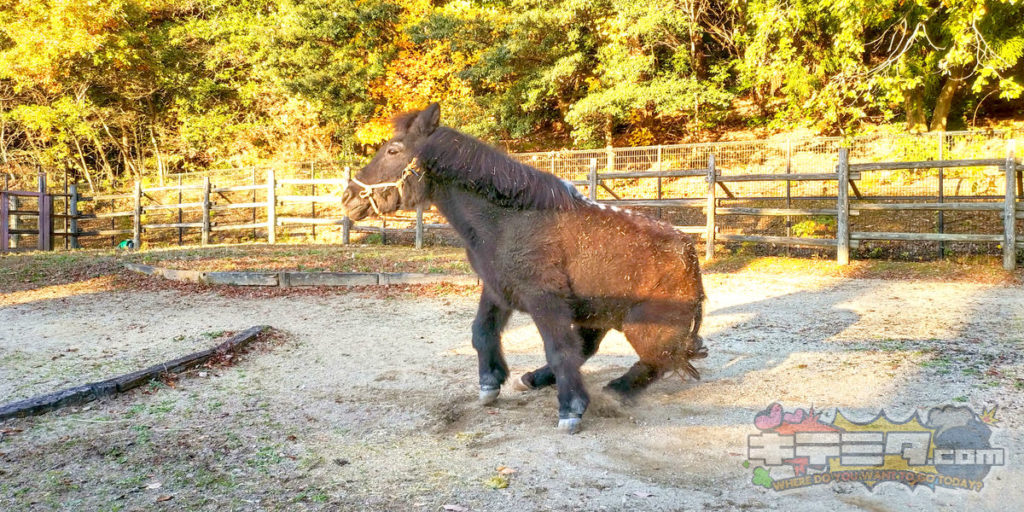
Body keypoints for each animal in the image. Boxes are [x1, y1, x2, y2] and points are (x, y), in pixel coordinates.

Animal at [342, 102, 704, 432]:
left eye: (393, 150)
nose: (348, 198)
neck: (508, 220)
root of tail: (689, 254)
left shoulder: (544, 299)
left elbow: (559, 350)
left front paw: (571, 410)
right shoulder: (497, 290)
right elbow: (482, 331)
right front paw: (490, 383)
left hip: (643, 325)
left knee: (657, 360)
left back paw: (615, 392)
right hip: (598, 312)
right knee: (596, 348)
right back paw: (533, 379)